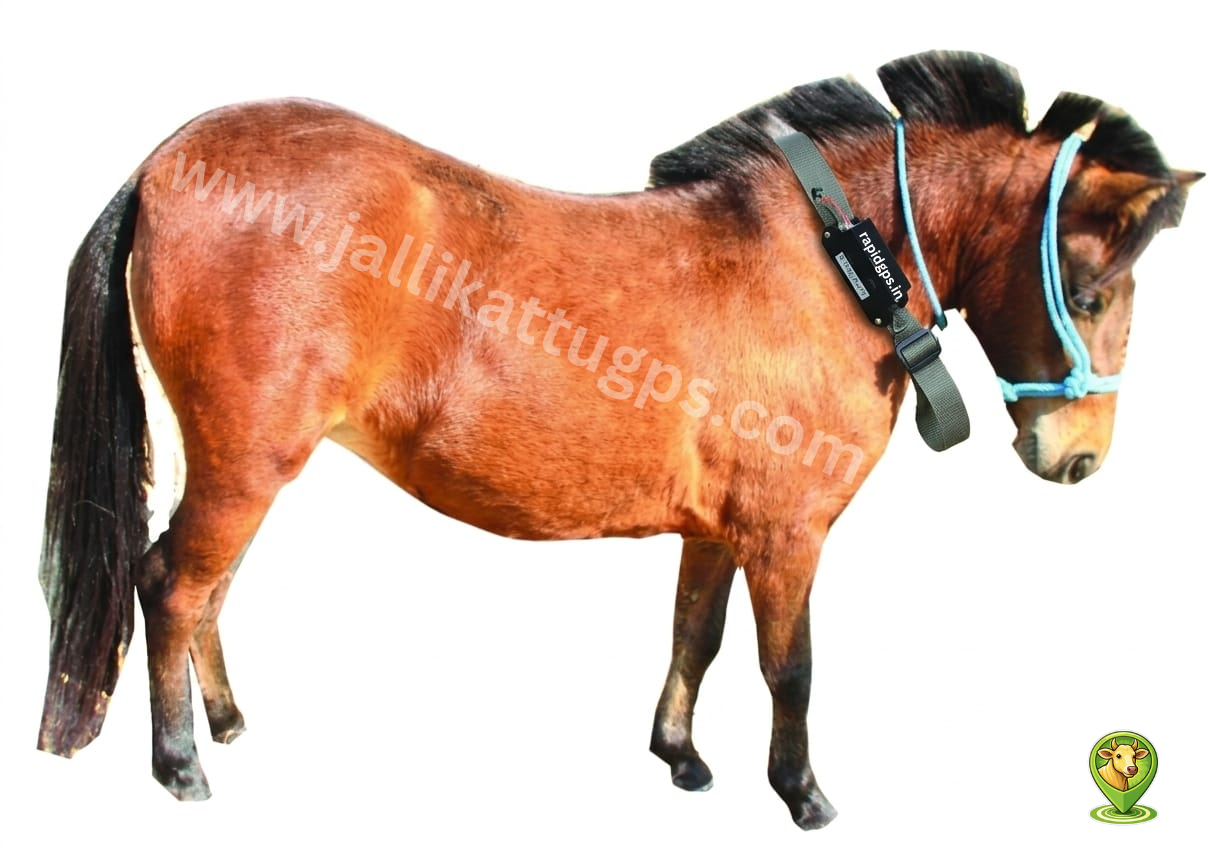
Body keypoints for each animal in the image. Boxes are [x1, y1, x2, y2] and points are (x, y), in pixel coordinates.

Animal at [36, 51, 1197, 830]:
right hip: (247, 463)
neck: (827, 258)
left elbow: (696, 637)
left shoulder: (717, 529)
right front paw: (802, 794)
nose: (1076, 457)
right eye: (1092, 290)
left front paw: (679, 756)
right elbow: (790, 668)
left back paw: (227, 723)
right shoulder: (788, 535)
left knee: (206, 590)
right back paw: (183, 766)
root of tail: (164, 164)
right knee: (172, 585)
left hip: (251, 464)